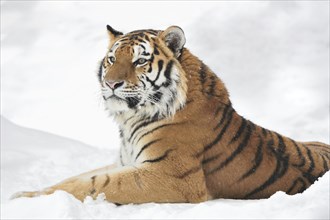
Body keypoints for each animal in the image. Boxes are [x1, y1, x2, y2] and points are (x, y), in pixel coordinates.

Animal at [11, 24, 328, 204]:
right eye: (111, 59)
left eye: (139, 61)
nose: (111, 84)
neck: (130, 120)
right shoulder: (126, 161)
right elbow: (78, 178)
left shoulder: (169, 175)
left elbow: (91, 184)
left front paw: (23, 198)